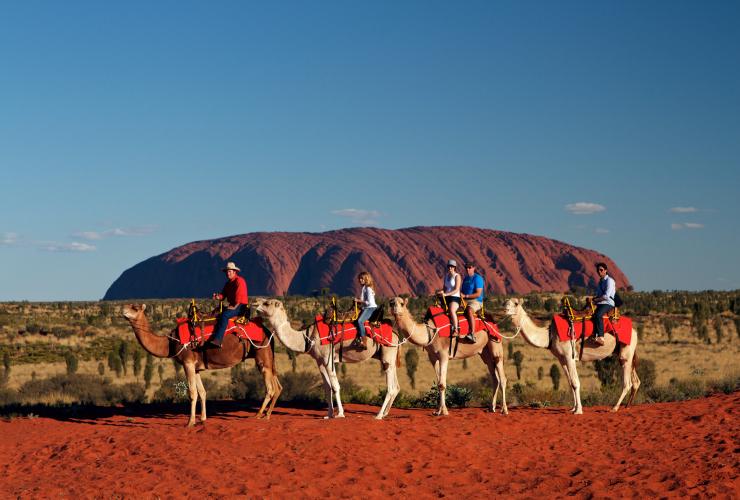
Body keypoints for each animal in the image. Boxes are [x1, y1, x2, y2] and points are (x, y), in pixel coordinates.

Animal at [123, 302, 282, 428]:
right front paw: (203, 419)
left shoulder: (187, 362)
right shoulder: (196, 367)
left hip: (262, 354)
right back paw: (267, 414)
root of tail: (268, 331)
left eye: (135, 308)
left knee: (270, 388)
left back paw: (259, 415)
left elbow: (192, 392)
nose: (123, 310)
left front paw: (190, 422)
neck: (170, 343)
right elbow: (202, 392)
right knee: (277, 385)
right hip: (268, 357)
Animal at [254, 298, 402, 420]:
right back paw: (385, 413)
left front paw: (340, 414)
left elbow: (336, 386)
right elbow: (327, 387)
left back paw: (378, 415)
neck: (307, 337)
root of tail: (396, 334)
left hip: (388, 353)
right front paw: (328, 414)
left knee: (390, 387)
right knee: (396, 386)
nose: (255, 303)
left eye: (267, 303)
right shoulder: (319, 361)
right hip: (388, 357)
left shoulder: (328, 358)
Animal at [506, 296, 640, 414]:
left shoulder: (569, 355)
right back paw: (627, 406)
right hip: (626, 354)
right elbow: (570, 383)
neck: (549, 335)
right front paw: (573, 408)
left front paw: (578, 411)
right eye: (505, 302)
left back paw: (614, 408)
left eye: (516, 303)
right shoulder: (562, 359)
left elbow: (575, 383)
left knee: (627, 383)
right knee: (636, 381)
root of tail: (634, 331)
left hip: (626, 353)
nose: (505, 310)